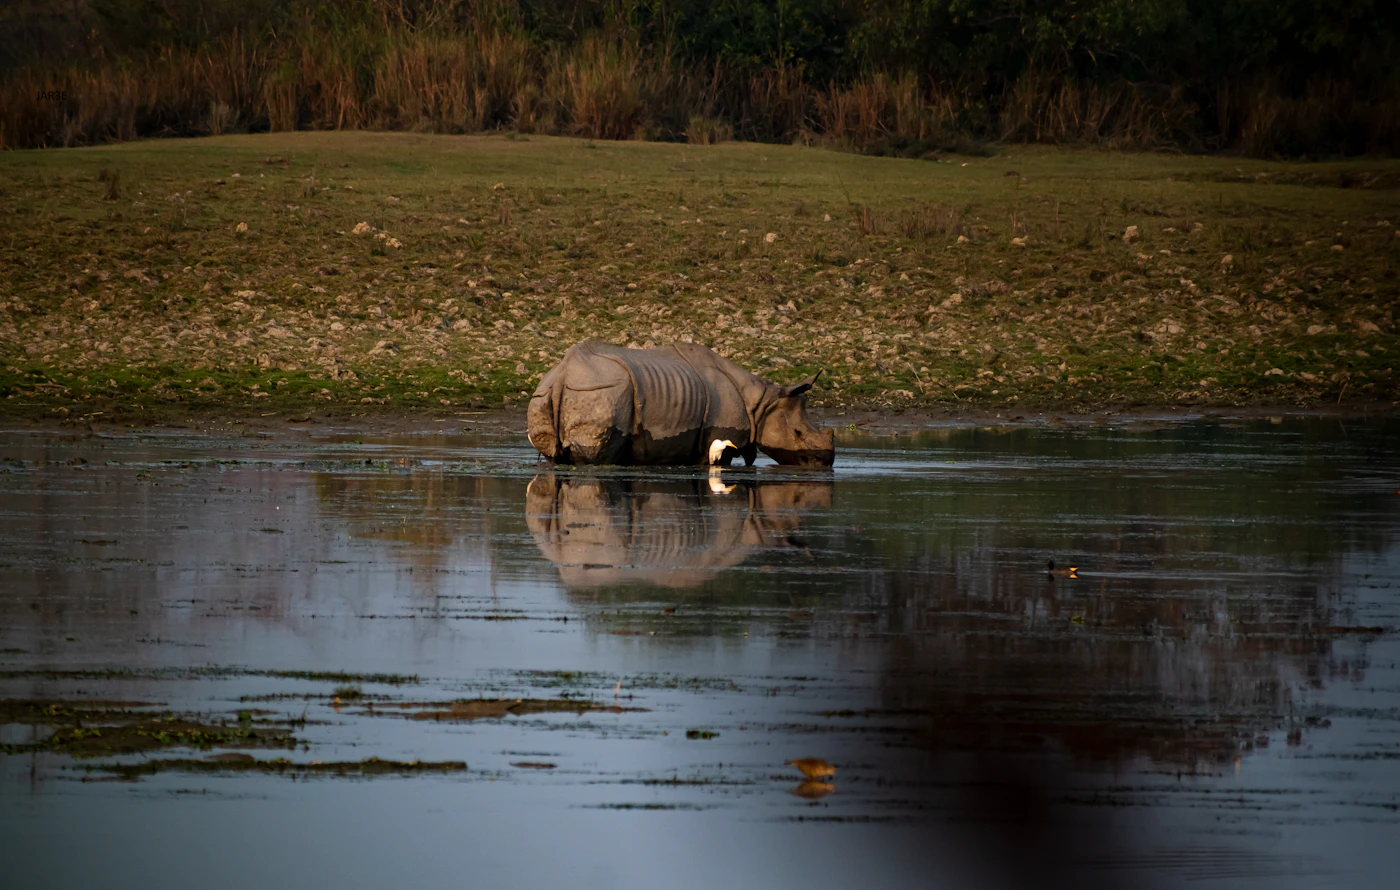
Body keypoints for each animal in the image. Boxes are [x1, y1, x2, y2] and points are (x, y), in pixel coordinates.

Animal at [526, 340, 834, 466]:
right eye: (798, 434)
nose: (825, 463)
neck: (762, 403)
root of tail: (563, 374)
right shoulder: (721, 437)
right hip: (601, 390)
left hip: (546, 395)